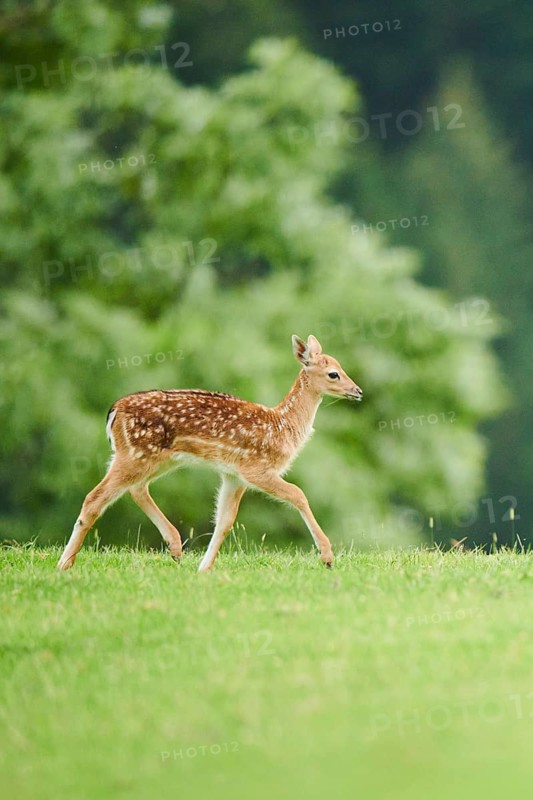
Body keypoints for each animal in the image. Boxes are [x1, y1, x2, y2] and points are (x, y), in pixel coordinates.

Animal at [57, 335, 363, 573]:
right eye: (333, 373)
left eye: (341, 367)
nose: (358, 391)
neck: (282, 426)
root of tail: (114, 411)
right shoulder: (256, 467)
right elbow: (298, 494)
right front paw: (327, 557)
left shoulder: (233, 475)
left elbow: (225, 521)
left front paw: (204, 568)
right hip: (135, 453)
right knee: (95, 498)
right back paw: (64, 563)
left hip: (156, 458)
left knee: (136, 489)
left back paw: (175, 547)